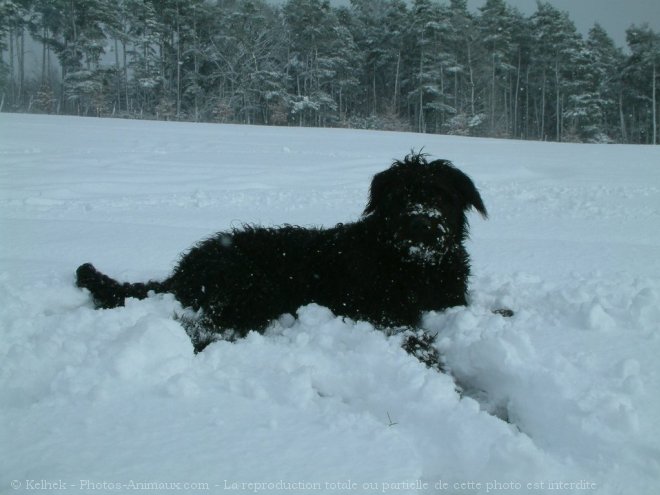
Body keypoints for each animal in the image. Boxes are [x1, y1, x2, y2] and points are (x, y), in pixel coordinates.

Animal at [78, 153, 490, 354]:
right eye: (401, 196)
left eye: (440, 195)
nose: (420, 223)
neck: (415, 265)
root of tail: (182, 271)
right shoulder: (383, 312)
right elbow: (413, 334)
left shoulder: (451, 300)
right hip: (252, 288)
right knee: (199, 327)